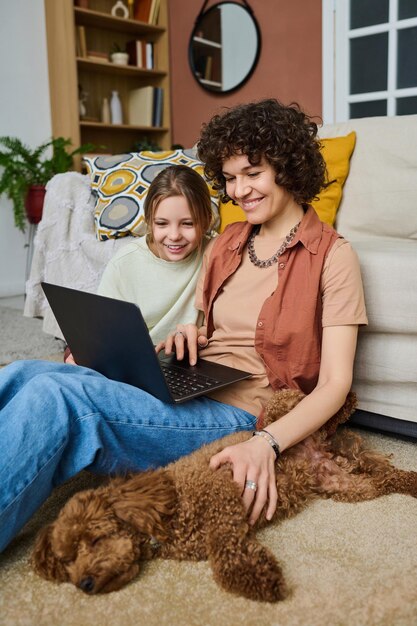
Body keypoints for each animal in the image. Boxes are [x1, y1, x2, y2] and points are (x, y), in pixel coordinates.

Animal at [32, 390, 416, 600]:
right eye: (67, 560)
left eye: (96, 540)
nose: (83, 584)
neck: (166, 512)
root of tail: (321, 448)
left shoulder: (222, 505)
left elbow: (225, 556)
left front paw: (261, 581)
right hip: (343, 485)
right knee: (386, 480)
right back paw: (410, 482)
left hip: (279, 410)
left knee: (316, 404)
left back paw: (348, 398)